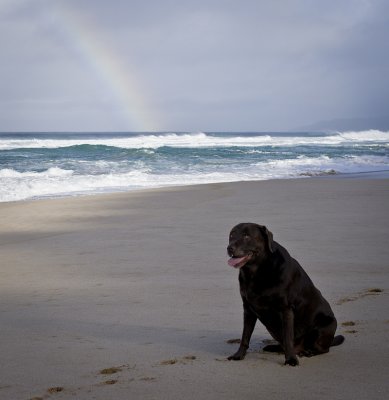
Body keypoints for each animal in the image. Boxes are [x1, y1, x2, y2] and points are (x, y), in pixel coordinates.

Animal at [226, 222, 344, 366]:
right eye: (231, 235)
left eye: (246, 236)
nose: (229, 248)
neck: (257, 271)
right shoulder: (248, 309)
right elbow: (245, 336)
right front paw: (238, 355)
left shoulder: (285, 309)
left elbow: (288, 337)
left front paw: (291, 359)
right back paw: (274, 347)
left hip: (326, 325)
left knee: (322, 349)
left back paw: (308, 352)